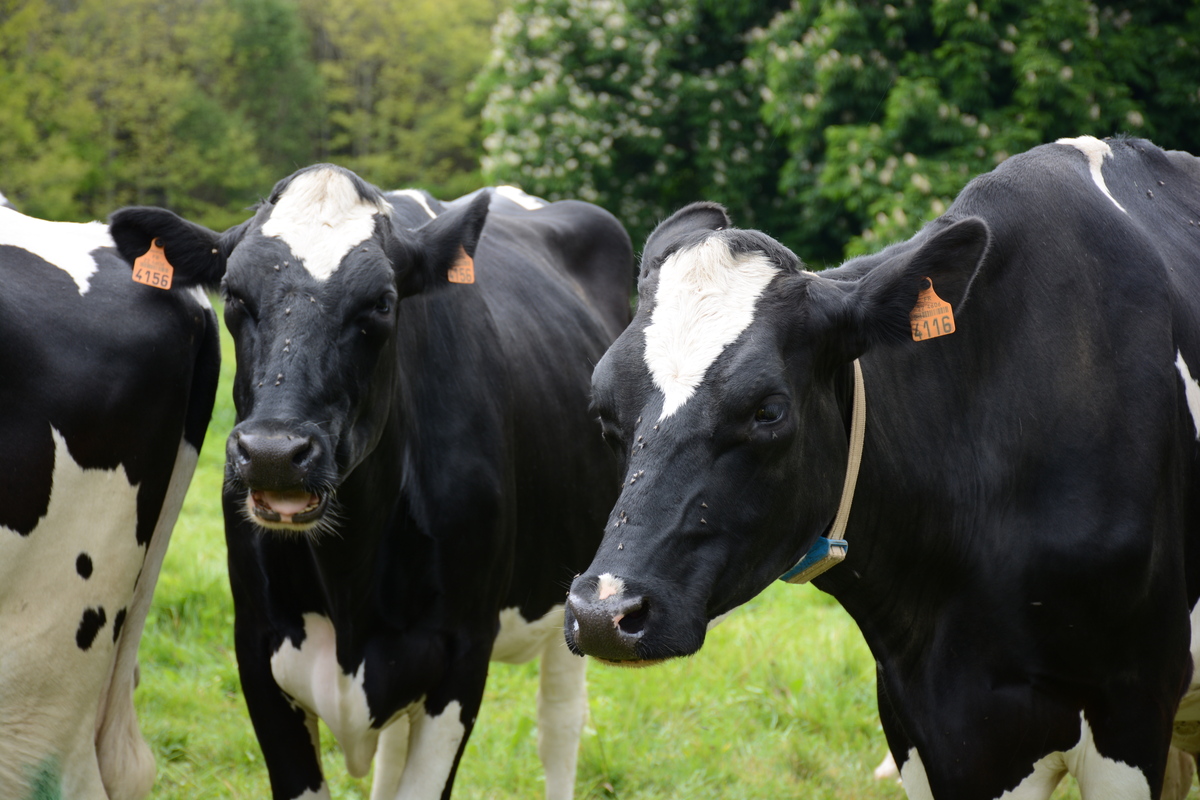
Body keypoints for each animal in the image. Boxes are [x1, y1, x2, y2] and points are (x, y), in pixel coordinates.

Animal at [110, 164, 638, 800]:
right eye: (234, 294)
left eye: (383, 304)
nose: (273, 454)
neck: (349, 584)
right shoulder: (257, 648)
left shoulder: (463, 651)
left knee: (559, 724)